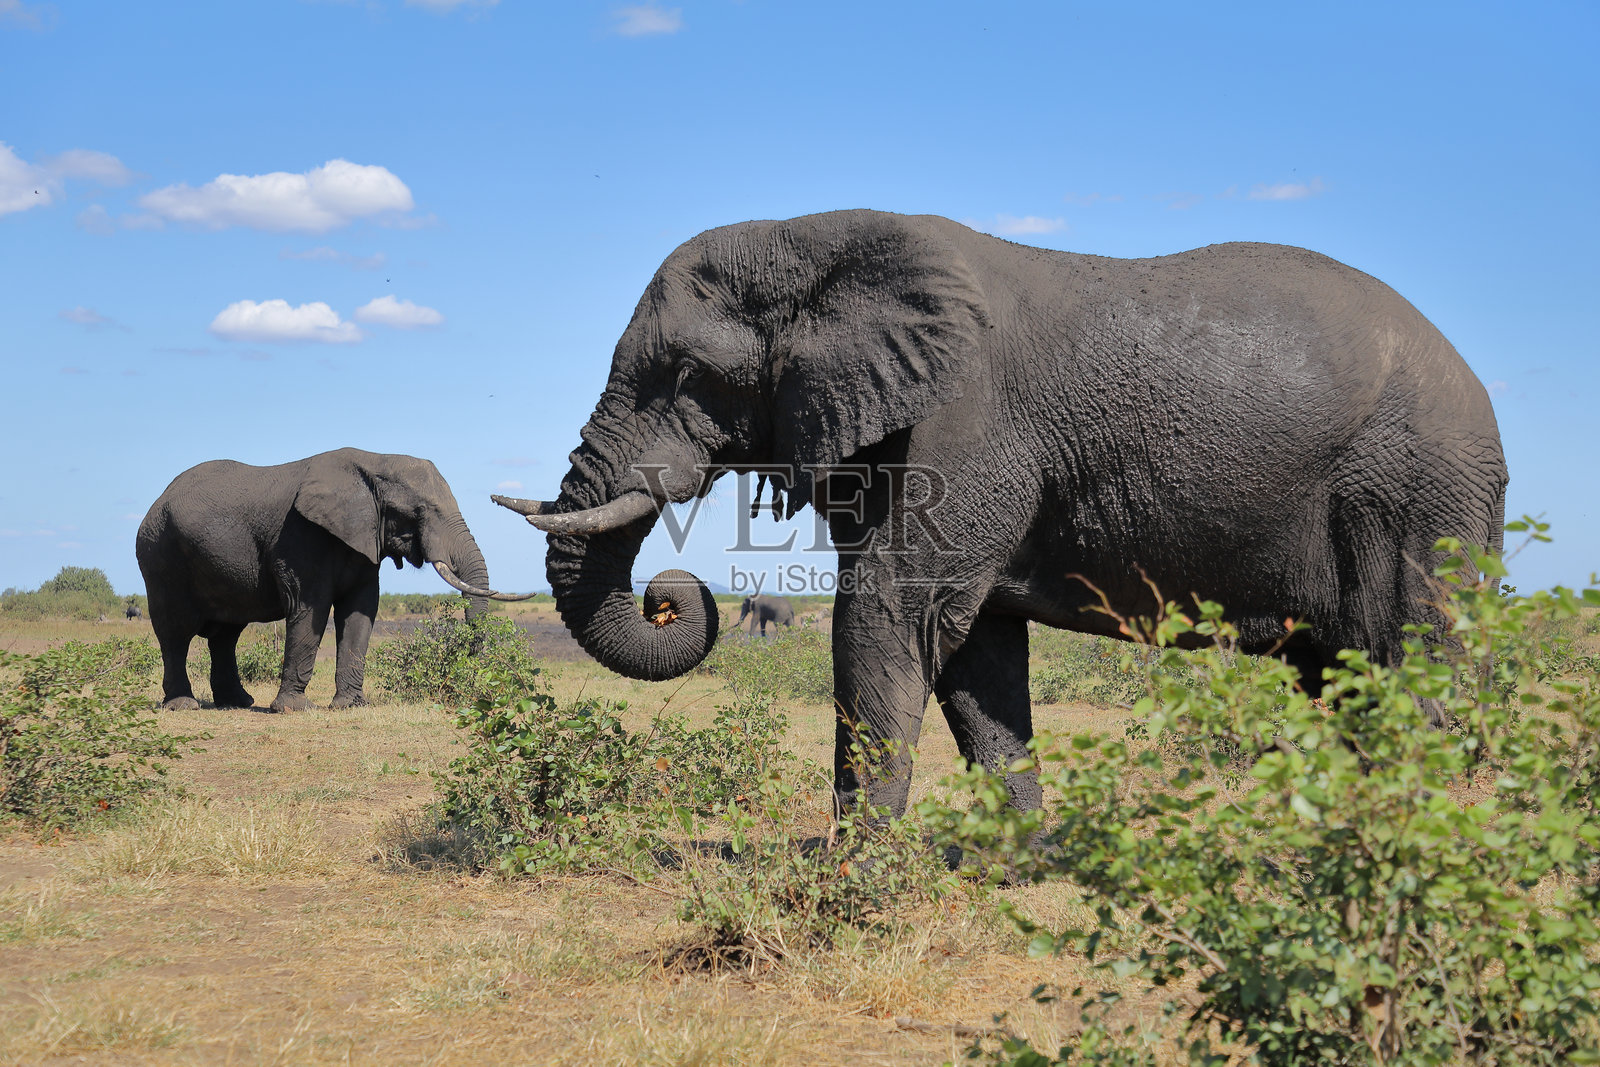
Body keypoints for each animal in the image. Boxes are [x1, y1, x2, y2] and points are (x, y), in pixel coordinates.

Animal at [137, 447, 530, 713]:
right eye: (418, 512)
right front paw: (294, 710)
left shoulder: (363, 541)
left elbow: (360, 612)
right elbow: (308, 609)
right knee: (175, 632)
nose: (472, 655)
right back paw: (183, 705)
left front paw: (351, 706)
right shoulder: (300, 537)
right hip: (160, 555)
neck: (375, 462)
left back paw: (238, 703)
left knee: (226, 635)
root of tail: (157, 501)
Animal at [494, 209, 1507, 818]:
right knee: (1336, 675)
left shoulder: (966, 424)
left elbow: (890, 610)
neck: (815, 237)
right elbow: (974, 650)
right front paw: (1018, 864)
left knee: (1411, 664)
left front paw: (848, 884)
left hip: (1418, 490)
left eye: (685, 374)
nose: (672, 594)